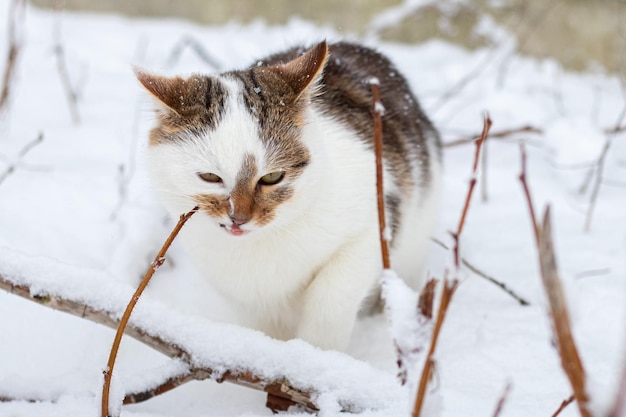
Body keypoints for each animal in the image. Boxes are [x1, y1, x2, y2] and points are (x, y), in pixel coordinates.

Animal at [135, 40, 438, 350]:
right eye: (210, 177)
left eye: (272, 177)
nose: (238, 218)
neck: (263, 243)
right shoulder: (246, 296)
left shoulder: (375, 219)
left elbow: (331, 299)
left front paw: (314, 354)